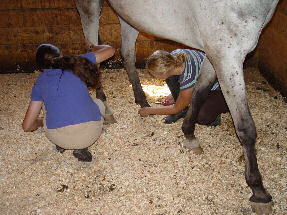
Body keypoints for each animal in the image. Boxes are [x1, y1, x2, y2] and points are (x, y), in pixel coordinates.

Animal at [75, 0, 280, 213]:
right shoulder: (227, 56)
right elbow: (246, 128)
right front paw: (258, 190)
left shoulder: (215, 54)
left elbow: (199, 92)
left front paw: (189, 134)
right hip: (89, 7)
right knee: (93, 54)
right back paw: (105, 108)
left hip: (128, 16)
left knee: (127, 53)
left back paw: (141, 99)